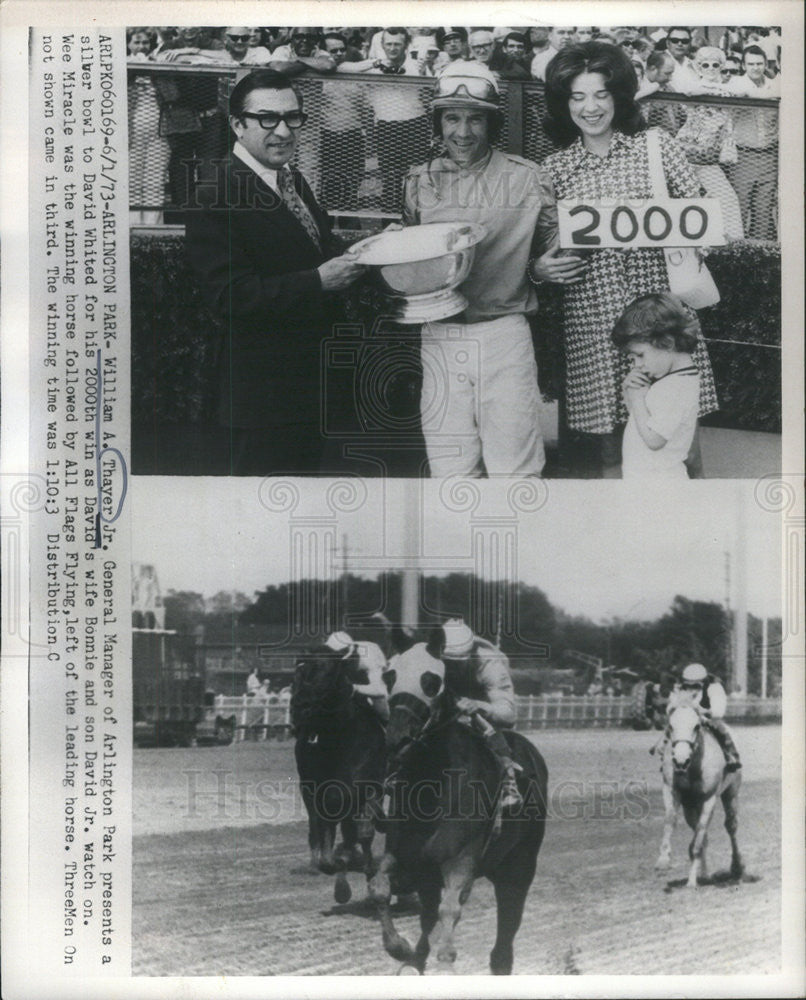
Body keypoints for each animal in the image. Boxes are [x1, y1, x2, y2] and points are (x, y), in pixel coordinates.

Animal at [294, 648, 388, 908]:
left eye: (326, 672)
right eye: (298, 672)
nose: (299, 707)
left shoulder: (365, 782)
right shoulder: (310, 786)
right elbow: (320, 825)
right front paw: (326, 862)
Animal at [370, 640, 548, 976]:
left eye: (431, 681)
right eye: (389, 676)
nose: (398, 739)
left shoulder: (462, 858)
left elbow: (450, 908)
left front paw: (445, 960)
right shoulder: (406, 855)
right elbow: (380, 888)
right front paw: (400, 949)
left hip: (519, 866)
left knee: (508, 923)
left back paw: (499, 962)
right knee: (429, 913)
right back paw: (415, 959)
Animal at [656, 708, 744, 888]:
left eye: (696, 726)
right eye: (671, 725)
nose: (680, 760)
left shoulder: (709, 799)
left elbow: (699, 836)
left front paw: (691, 882)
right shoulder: (671, 791)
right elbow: (670, 820)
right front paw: (663, 860)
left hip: (731, 793)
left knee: (731, 826)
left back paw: (736, 868)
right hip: (690, 808)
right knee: (703, 835)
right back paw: (704, 875)